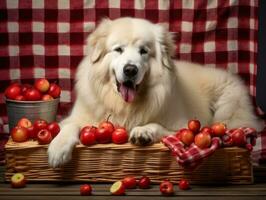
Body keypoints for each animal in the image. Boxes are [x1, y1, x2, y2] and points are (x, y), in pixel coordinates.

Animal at [47, 17, 262, 168]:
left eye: (144, 51)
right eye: (118, 50)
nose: (130, 70)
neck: (124, 106)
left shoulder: (184, 128)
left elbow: (159, 126)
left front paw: (143, 132)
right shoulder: (76, 118)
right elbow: (69, 126)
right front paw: (58, 149)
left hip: (228, 108)